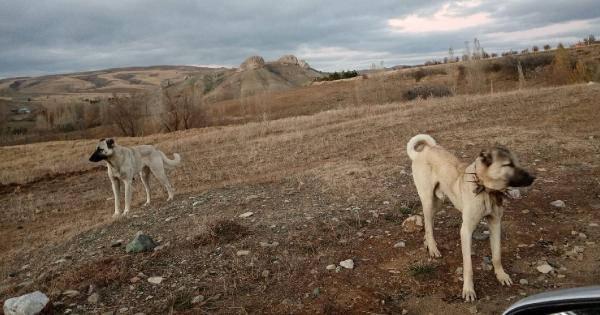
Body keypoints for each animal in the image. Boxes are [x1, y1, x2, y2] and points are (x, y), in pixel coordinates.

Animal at [408, 135, 536, 302]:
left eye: (517, 163)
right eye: (508, 164)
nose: (533, 177)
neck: (486, 189)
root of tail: (426, 150)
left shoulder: (495, 223)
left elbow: (497, 255)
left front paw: (501, 275)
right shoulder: (466, 230)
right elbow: (468, 266)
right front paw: (468, 290)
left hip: (439, 201)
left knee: (429, 225)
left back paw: (428, 243)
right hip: (429, 201)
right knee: (429, 225)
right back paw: (433, 248)